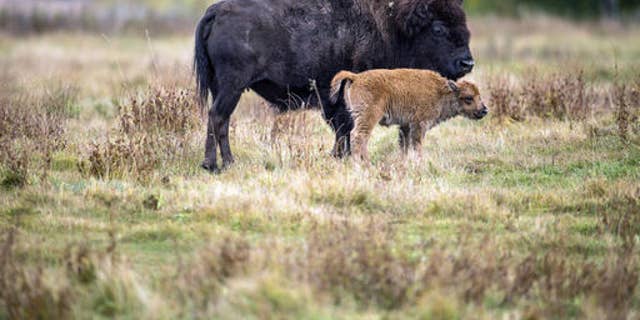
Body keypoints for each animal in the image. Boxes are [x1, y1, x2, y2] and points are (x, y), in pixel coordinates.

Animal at [330, 69, 490, 161]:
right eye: (468, 98)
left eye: (479, 95)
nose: (484, 110)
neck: (440, 92)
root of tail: (356, 77)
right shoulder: (419, 124)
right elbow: (417, 145)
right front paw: (419, 163)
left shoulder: (405, 125)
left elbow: (404, 146)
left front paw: (403, 163)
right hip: (369, 117)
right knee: (358, 136)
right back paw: (361, 164)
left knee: (361, 138)